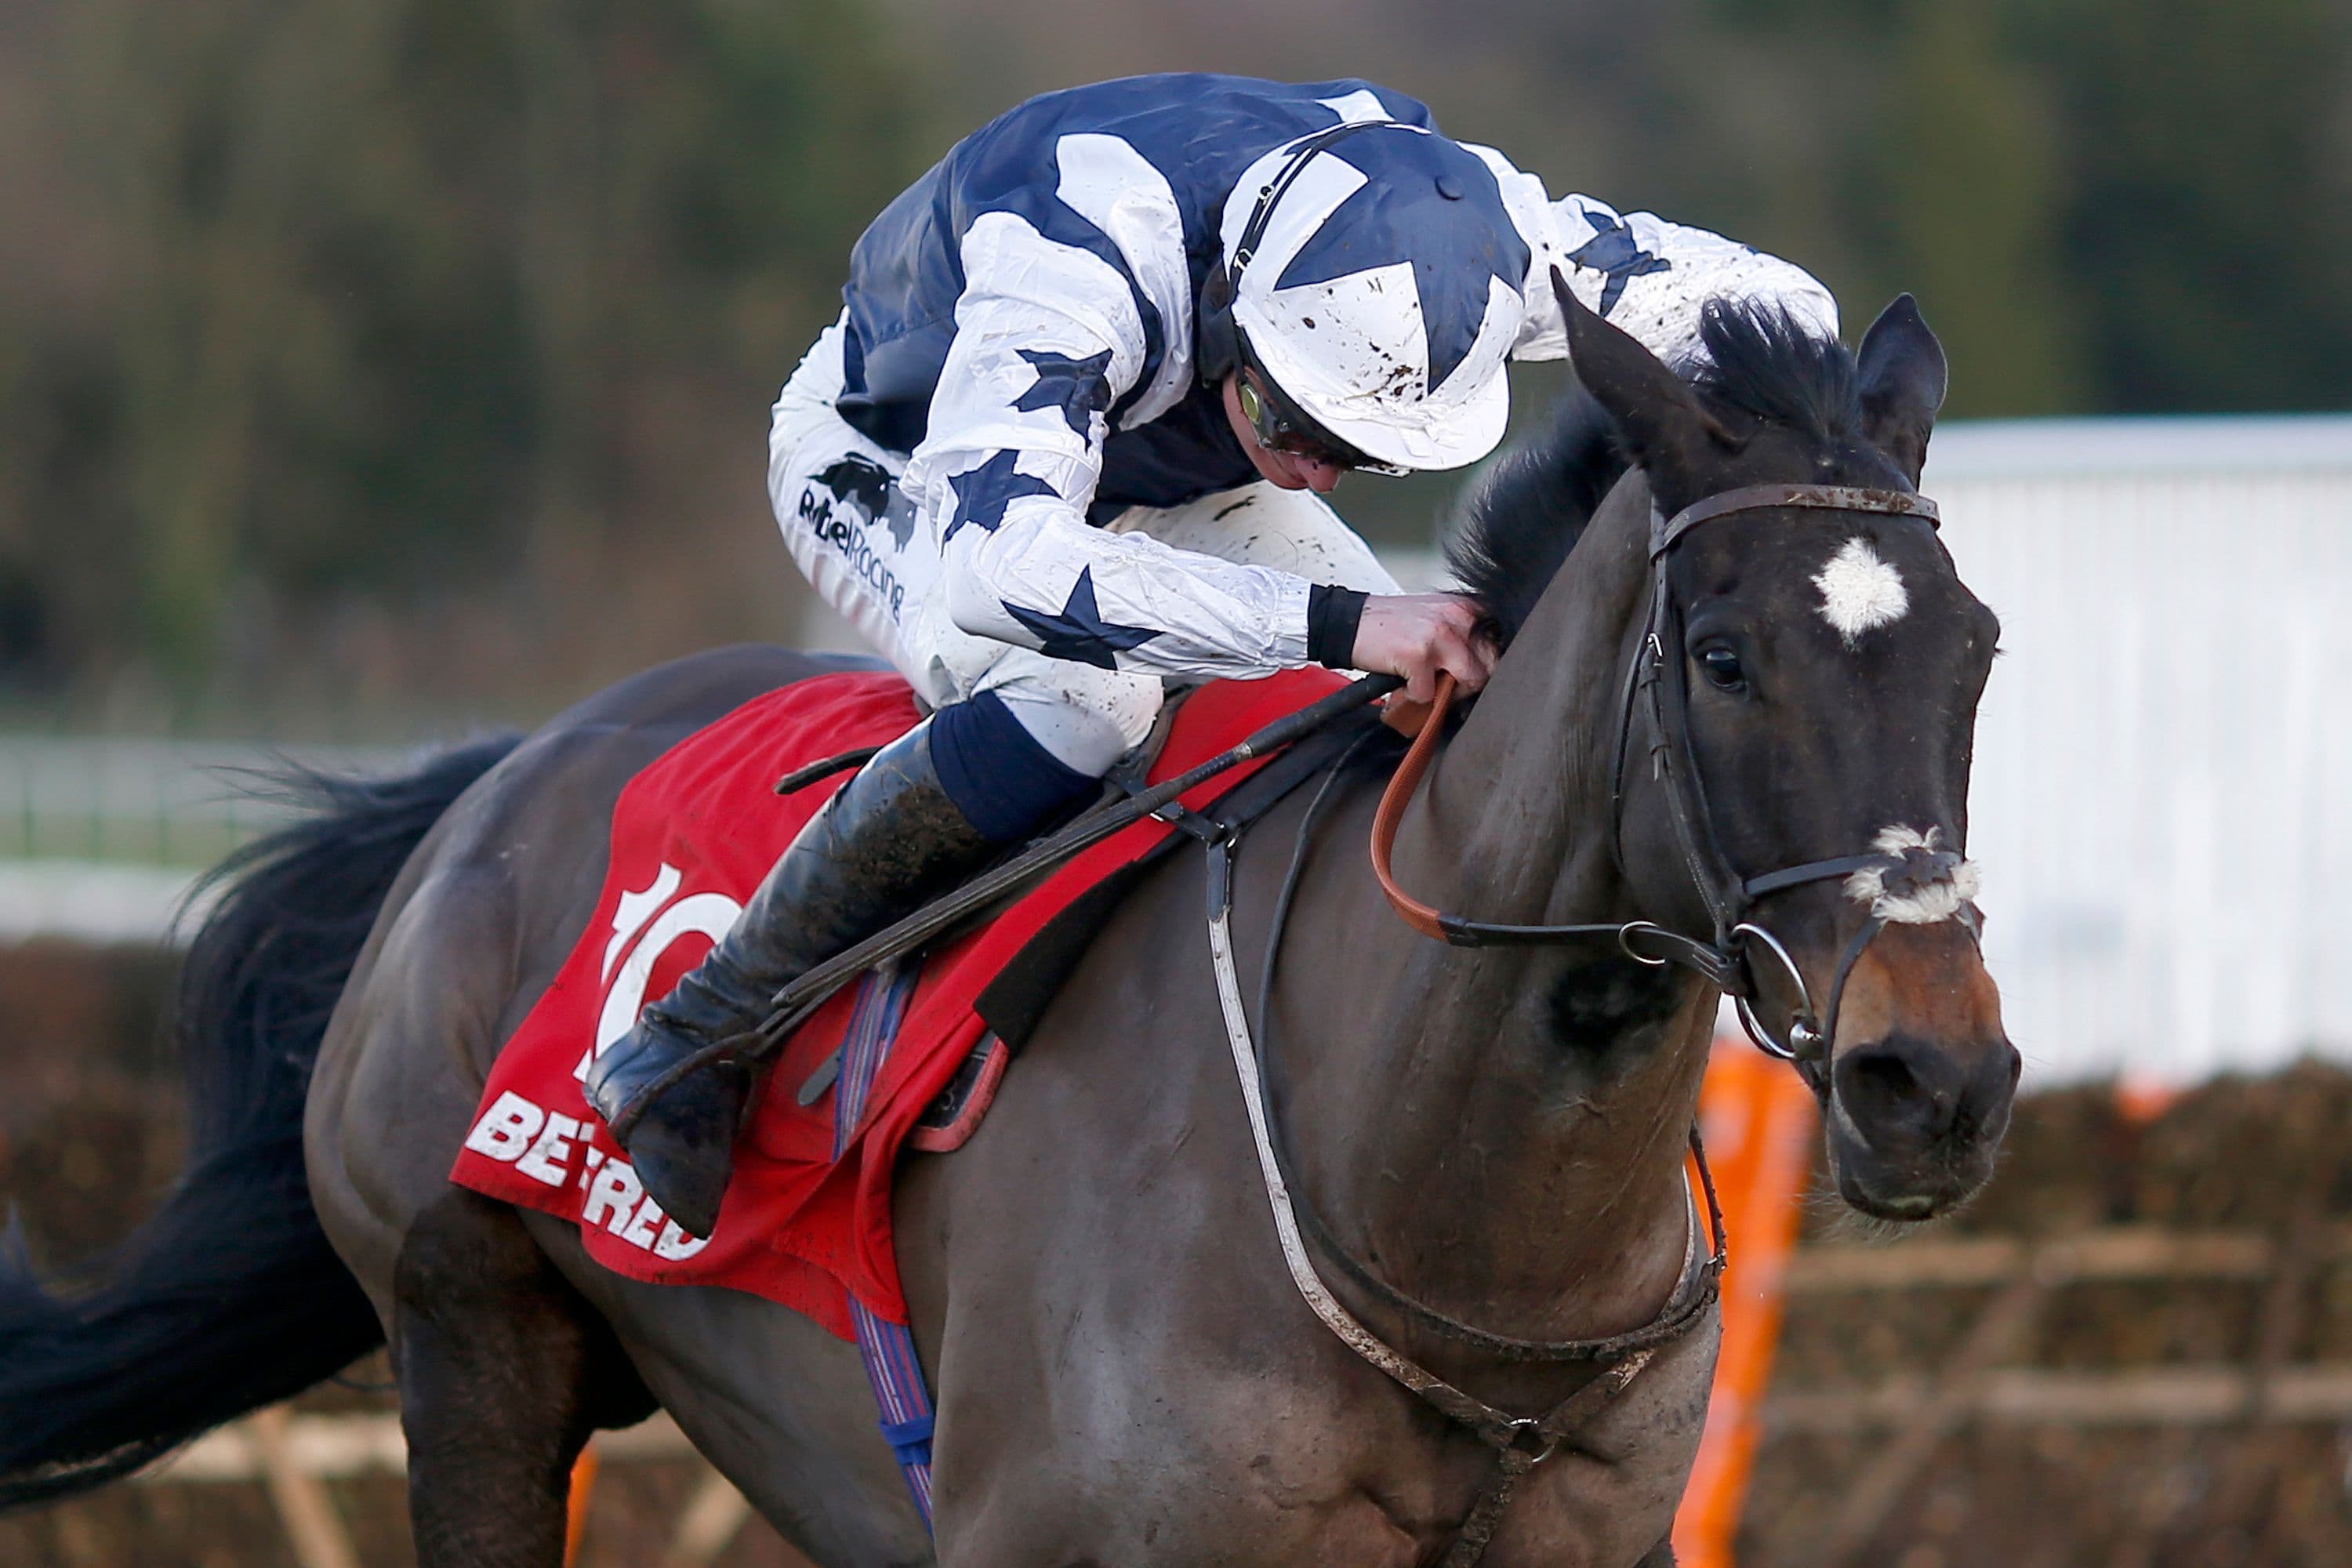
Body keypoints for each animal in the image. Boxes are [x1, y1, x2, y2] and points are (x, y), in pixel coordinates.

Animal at [0, 288, 2023, 1561]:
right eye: (1724, 653)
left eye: (1978, 646)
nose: (1935, 1080)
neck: (1439, 1207)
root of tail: (494, 777)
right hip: (471, 1331)